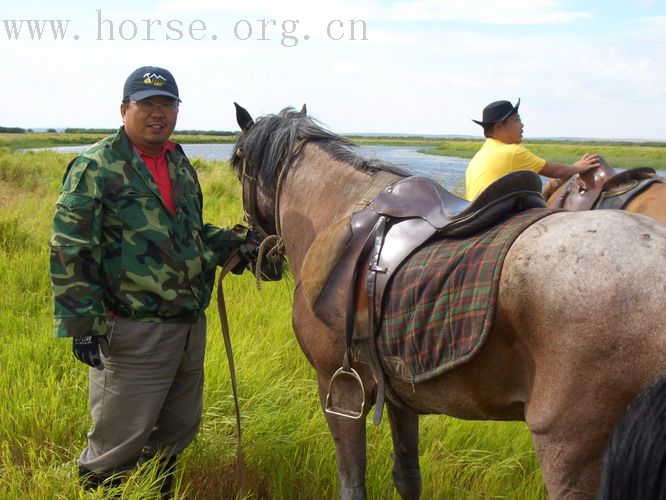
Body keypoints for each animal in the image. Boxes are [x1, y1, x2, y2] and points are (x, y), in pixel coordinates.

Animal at [227, 103, 664, 498]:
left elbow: (352, 484)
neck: (337, 214)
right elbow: (408, 477)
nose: (255, 255)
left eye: (236, 163)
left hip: (571, 453)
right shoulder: (398, 396)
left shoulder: (339, 392)